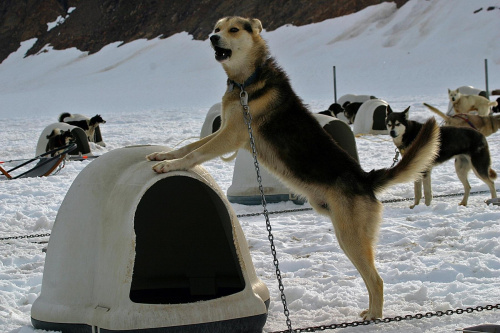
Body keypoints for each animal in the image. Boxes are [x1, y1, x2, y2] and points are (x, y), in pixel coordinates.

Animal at [146, 15, 440, 320]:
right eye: (217, 28)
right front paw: (164, 155)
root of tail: (365, 179)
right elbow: (189, 146)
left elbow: (196, 152)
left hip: (351, 238)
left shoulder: (230, 136)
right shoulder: (223, 132)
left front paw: (170, 165)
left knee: (377, 280)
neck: (246, 82)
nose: (212, 38)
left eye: (233, 30)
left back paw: (374, 317)